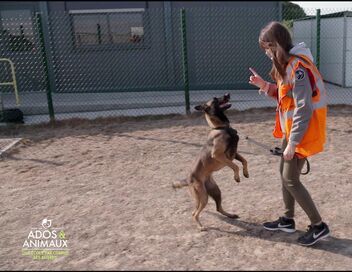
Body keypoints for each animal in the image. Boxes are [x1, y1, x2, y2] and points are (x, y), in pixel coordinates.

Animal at [172, 94, 249, 232]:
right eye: (215, 99)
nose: (227, 94)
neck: (221, 128)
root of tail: (188, 180)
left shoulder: (234, 153)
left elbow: (244, 161)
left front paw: (245, 173)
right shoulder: (220, 155)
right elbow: (235, 166)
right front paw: (237, 177)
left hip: (216, 191)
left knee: (218, 208)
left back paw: (230, 215)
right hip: (203, 197)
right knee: (194, 213)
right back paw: (200, 227)